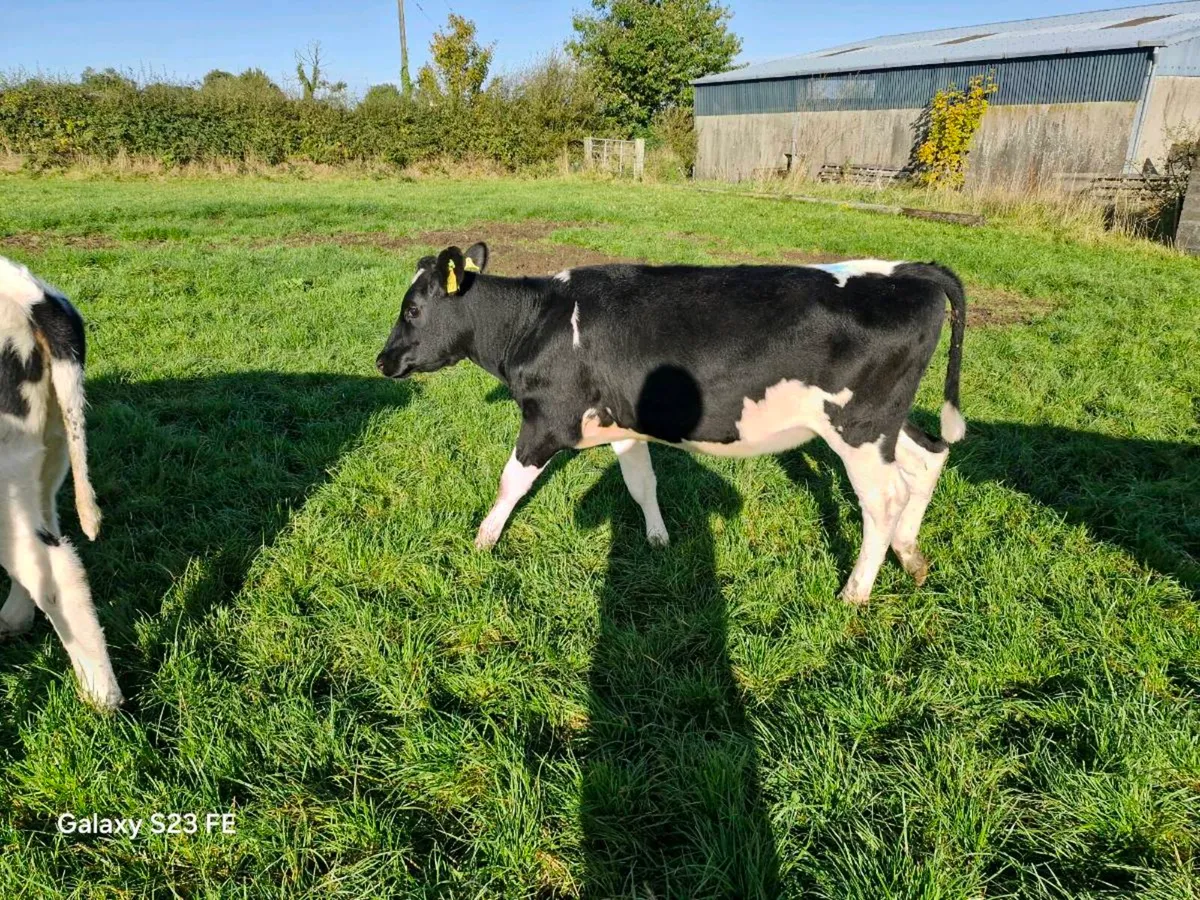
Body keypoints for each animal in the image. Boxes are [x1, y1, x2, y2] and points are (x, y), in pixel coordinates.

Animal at [376, 244, 966, 604]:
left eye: (412, 309)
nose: (382, 361)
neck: (538, 322)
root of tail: (909, 269)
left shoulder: (548, 420)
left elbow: (510, 483)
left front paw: (482, 542)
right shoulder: (624, 426)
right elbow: (642, 484)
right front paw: (659, 542)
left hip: (858, 427)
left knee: (883, 499)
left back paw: (855, 592)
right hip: (883, 422)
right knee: (929, 458)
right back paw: (911, 557)